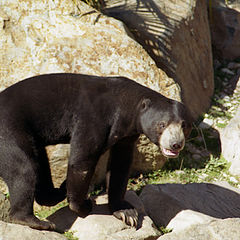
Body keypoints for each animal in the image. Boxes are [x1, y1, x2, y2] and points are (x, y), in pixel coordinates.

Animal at [0, 73, 192, 231]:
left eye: (185, 126)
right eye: (161, 125)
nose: (176, 144)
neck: (128, 107)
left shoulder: (126, 135)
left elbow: (120, 164)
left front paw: (126, 212)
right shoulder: (94, 119)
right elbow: (82, 160)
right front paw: (84, 206)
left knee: (39, 164)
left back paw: (57, 191)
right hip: (9, 132)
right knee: (24, 170)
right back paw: (36, 221)